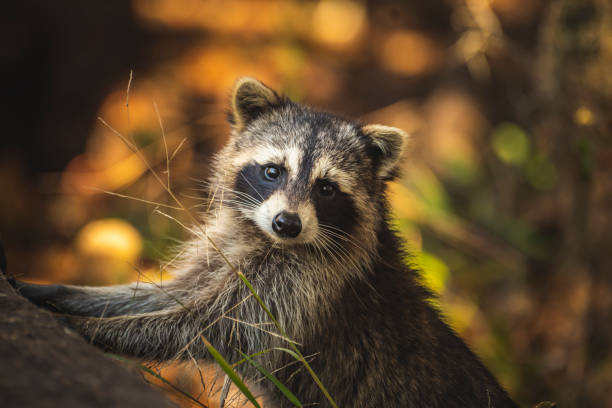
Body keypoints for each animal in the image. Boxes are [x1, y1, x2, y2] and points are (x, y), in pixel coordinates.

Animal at [9, 78, 516, 406]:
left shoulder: (306, 286)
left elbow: (205, 327)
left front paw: (92, 329)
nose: (287, 223)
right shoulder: (225, 253)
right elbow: (167, 295)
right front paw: (64, 295)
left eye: (326, 189)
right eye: (273, 170)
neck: (267, 241)